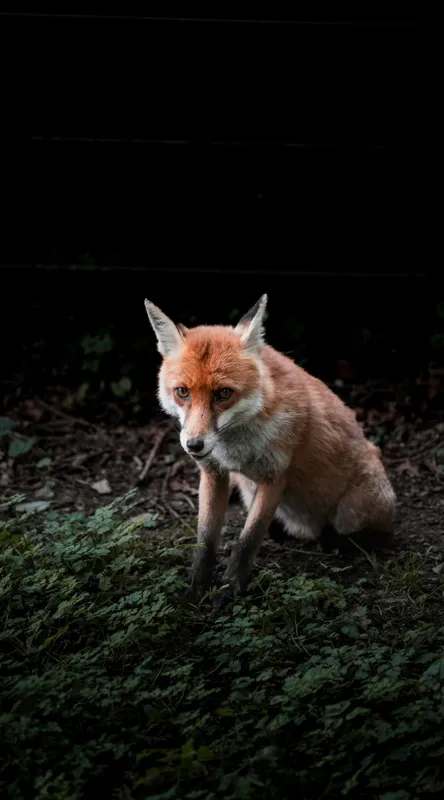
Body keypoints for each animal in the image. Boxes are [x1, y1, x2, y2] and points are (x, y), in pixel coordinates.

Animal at [144, 294, 396, 596]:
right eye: (182, 392)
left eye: (224, 393)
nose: (194, 445)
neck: (236, 449)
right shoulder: (214, 473)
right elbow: (205, 539)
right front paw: (197, 587)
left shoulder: (275, 475)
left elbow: (248, 540)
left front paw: (230, 588)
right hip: (248, 491)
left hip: (354, 510)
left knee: (371, 534)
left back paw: (337, 541)